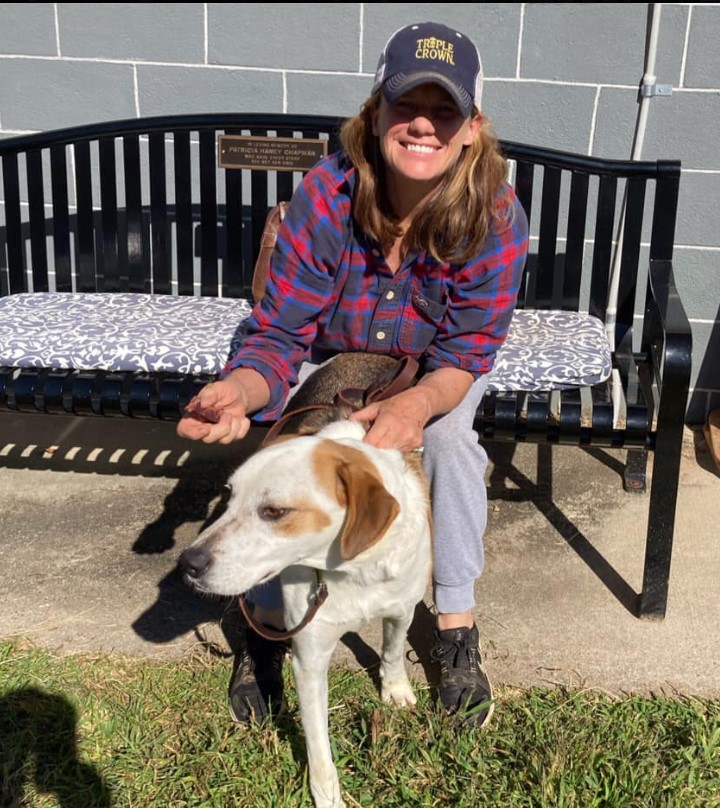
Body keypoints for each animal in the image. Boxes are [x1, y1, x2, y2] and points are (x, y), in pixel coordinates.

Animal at [180, 356, 434, 808]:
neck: (353, 569)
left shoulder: (402, 608)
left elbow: (391, 650)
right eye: (229, 497)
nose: (188, 563)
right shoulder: (310, 658)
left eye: (274, 511)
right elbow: (319, 751)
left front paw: (395, 687)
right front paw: (327, 796)